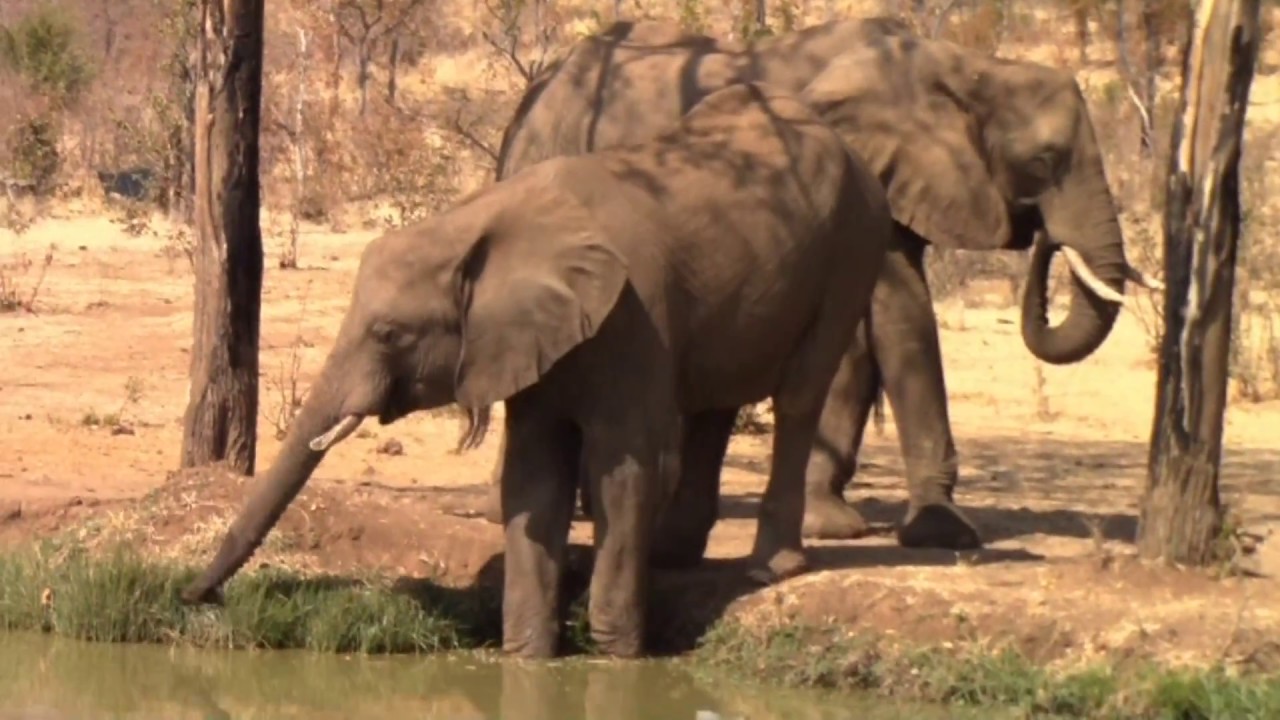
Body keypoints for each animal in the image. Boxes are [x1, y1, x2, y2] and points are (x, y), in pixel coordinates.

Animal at [179, 82, 894, 659]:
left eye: (389, 334)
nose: (193, 598)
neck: (482, 221)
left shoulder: (634, 318)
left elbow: (622, 472)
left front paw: (616, 653)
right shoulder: (528, 342)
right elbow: (534, 475)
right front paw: (528, 654)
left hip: (852, 244)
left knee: (800, 393)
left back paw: (771, 570)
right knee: (714, 407)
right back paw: (673, 555)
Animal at [478, 17, 1163, 561]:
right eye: (1044, 162)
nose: (1047, 237)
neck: (963, 68)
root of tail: (536, 93)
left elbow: (858, 342)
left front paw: (834, 521)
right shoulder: (864, 167)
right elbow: (900, 313)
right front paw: (943, 534)